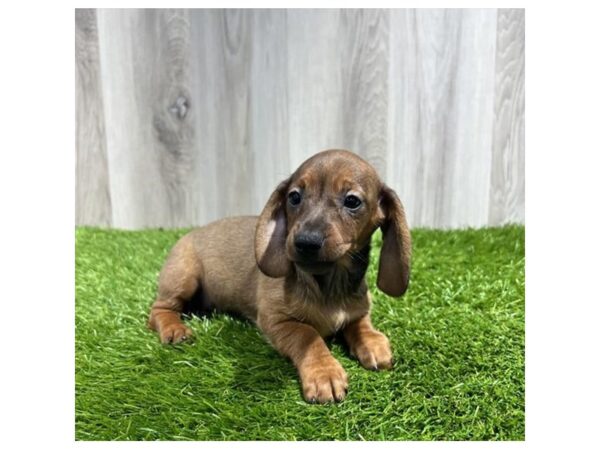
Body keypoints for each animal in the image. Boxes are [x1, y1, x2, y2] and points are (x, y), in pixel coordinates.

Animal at [148, 149, 410, 404]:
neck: (327, 284)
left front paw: (372, 341)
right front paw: (324, 373)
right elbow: (308, 334)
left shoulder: (357, 310)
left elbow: (359, 323)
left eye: (352, 201)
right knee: (159, 309)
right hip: (184, 276)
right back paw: (175, 329)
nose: (306, 241)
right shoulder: (276, 320)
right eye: (294, 197)